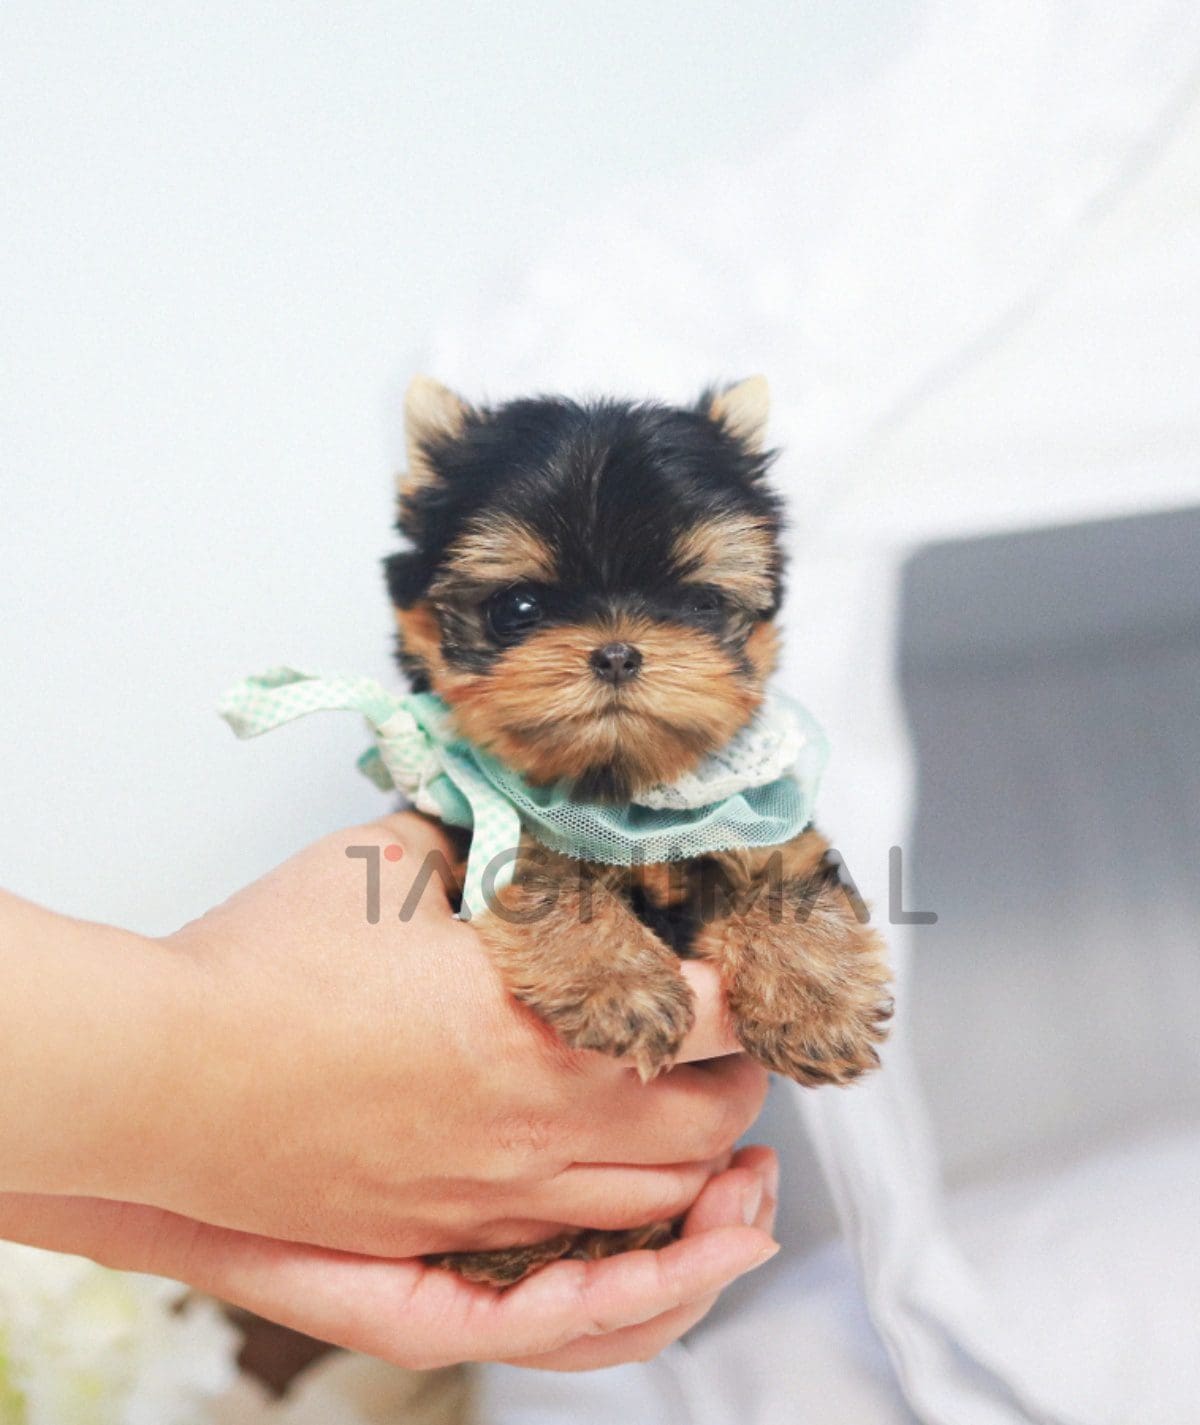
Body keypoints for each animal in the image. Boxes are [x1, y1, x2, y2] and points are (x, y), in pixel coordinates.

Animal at [385, 376, 892, 1283]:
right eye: (518, 607)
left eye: (698, 602)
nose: (618, 650)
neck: (619, 787)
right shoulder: (479, 832)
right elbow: (545, 873)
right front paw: (617, 983)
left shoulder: (760, 812)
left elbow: (787, 876)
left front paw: (814, 1001)